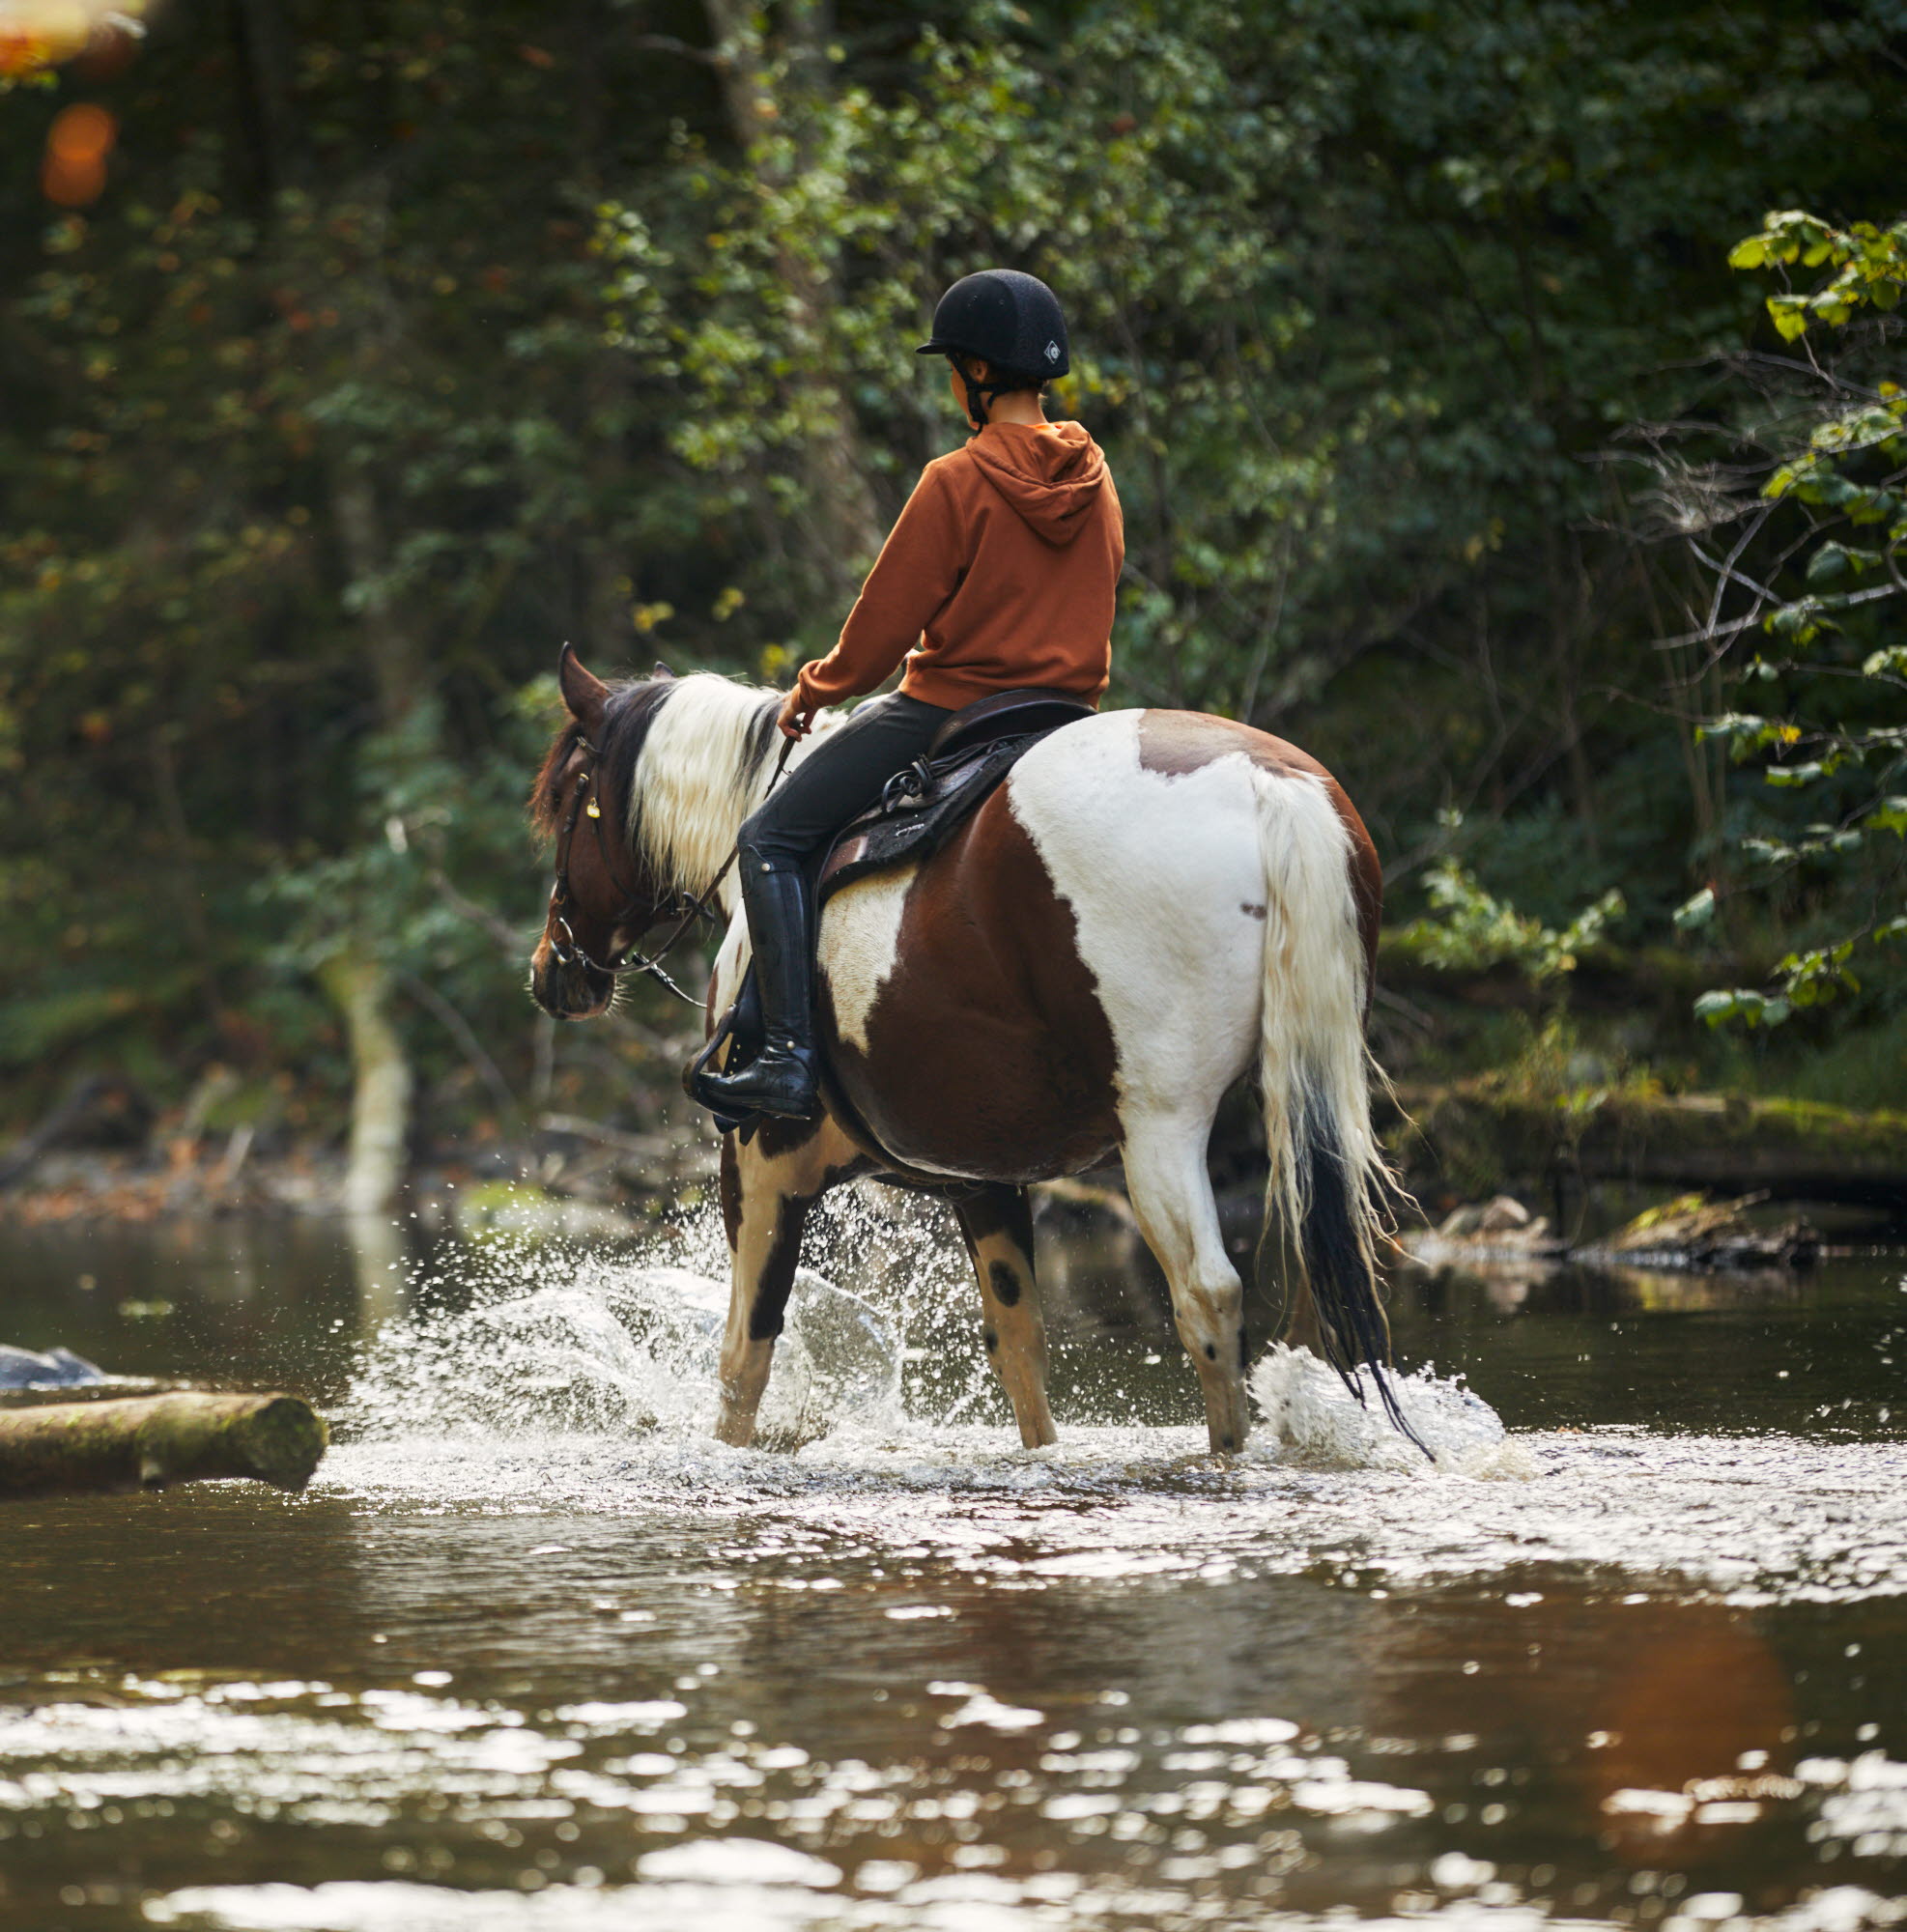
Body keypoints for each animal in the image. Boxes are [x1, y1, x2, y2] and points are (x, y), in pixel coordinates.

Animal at [528, 648, 1411, 1457]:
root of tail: (1269, 783)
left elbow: (744, 1358)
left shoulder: (760, 1161)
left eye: (569, 801)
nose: (550, 970)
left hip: (1162, 1128)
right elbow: (1022, 1354)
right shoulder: (982, 1181)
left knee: (1207, 1299)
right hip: (1302, 1112)